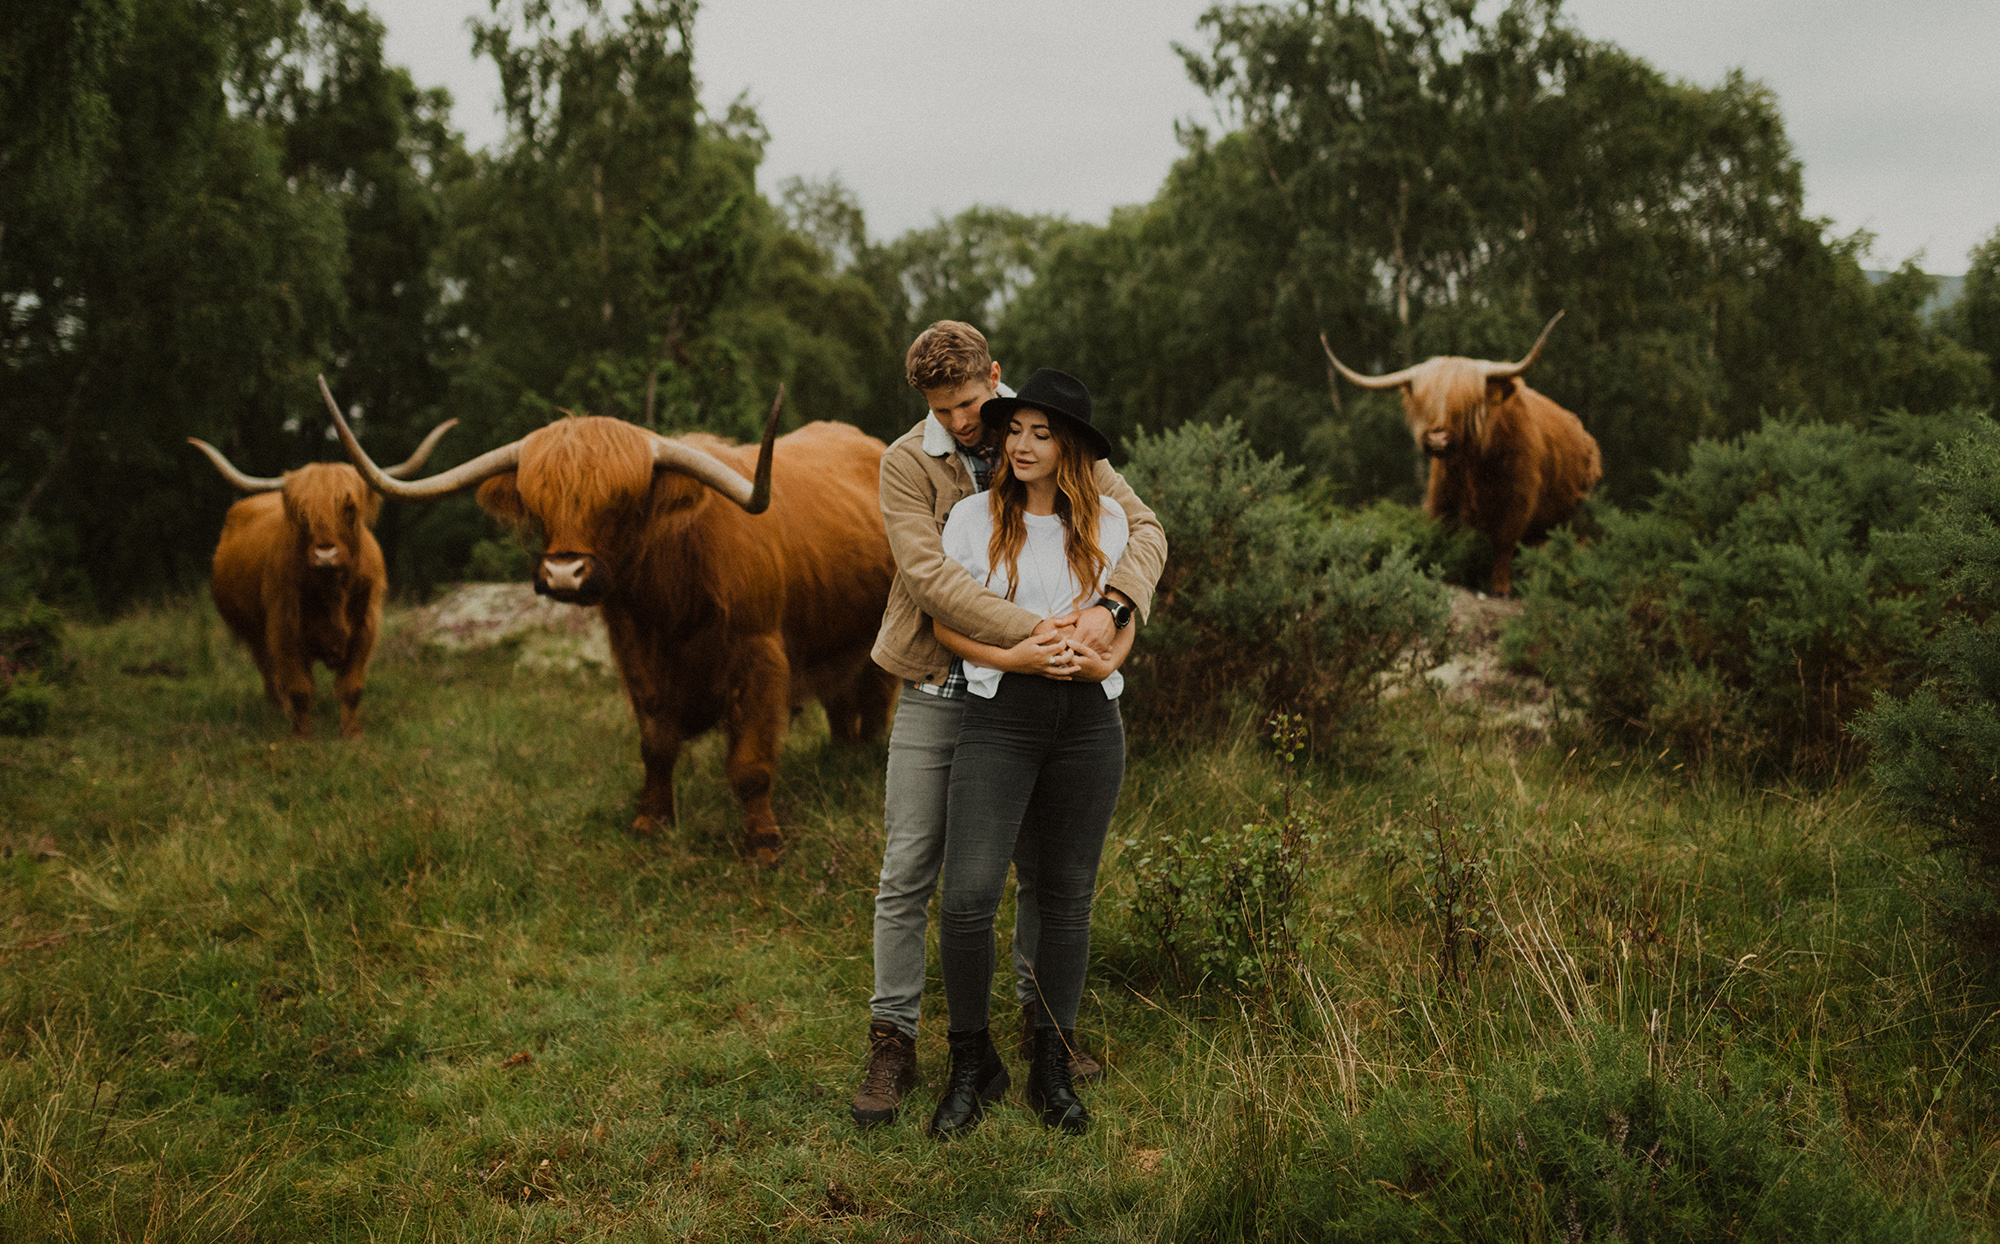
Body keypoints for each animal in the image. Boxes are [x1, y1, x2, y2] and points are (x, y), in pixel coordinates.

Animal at [188, 424, 454, 740]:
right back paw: (280, 711)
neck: (332, 591)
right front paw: (302, 735)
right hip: (254, 633)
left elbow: (351, 687)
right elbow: (299, 687)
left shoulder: (365, 627)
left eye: (350, 508)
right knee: (269, 671)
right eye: (303, 512)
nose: (325, 554)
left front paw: (351, 734)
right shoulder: (284, 627)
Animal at [316, 378, 896, 868]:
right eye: (537, 504)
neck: (672, 597)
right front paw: (650, 822)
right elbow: (656, 747)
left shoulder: (759, 659)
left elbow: (750, 765)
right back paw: (842, 755)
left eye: (620, 503)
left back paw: (864, 762)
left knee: (874, 701)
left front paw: (764, 845)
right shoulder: (637, 659)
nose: (563, 573)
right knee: (843, 704)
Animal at [1320, 314, 1600, 604]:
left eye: (1467, 405)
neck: (1473, 464)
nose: (1437, 438)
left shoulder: (1519, 499)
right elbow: (1439, 536)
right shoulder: (1440, 498)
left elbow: (1504, 543)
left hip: (1568, 519)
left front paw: (1500, 588)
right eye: (1424, 405)